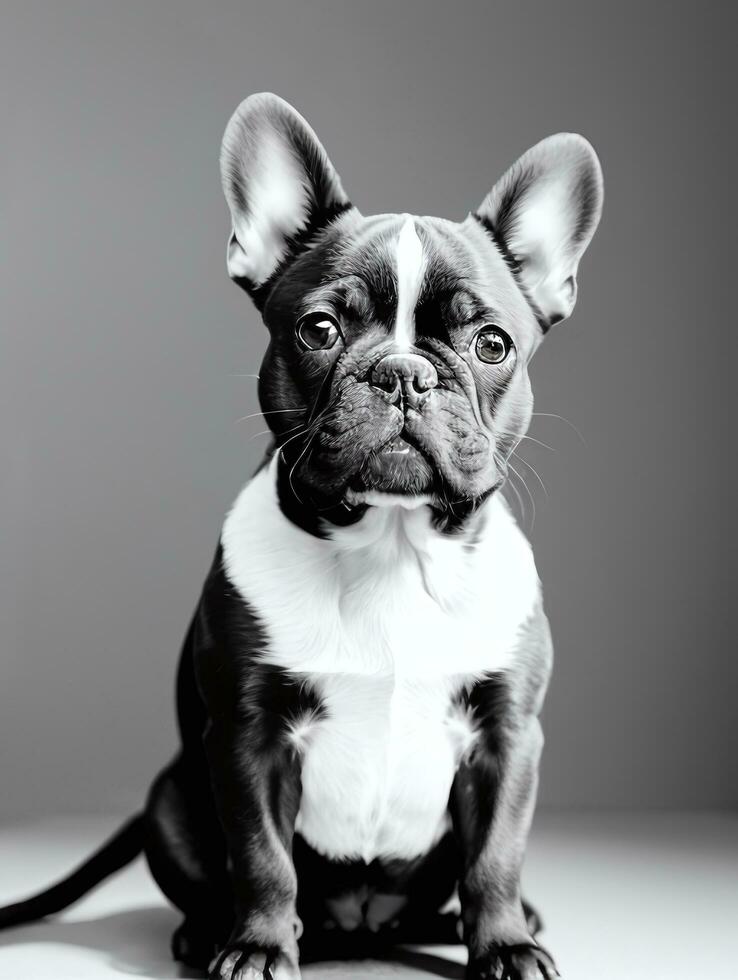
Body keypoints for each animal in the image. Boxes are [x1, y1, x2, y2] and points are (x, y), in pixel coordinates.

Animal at [0, 94, 600, 980]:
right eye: (319, 329)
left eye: (491, 344)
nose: (403, 373)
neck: (391, 547)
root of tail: (360, 927)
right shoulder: (250, 737)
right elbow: (261, 856)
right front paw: (256, 946)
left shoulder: (507, 738)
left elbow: (495, 854)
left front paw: (505, 945)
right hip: (171, 796)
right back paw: (206, 933)